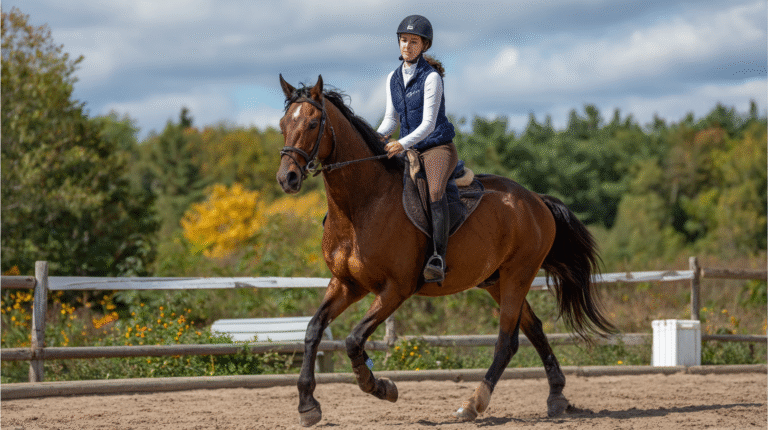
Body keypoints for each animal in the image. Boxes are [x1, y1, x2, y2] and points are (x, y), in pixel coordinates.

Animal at [276, 75, 615, 427]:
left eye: (312, 123)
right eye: (283, 124)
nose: (287, 178)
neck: (362, 206)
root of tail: (536, 200)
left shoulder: (395, 289)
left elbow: (354, 339)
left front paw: (380, 386)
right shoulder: (347, 284)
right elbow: (313, 330)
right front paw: (307, 405)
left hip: (518, 276)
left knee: (506, 341)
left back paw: (473, 403)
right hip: (497, 281)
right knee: (532, 329)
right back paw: (556, 395)